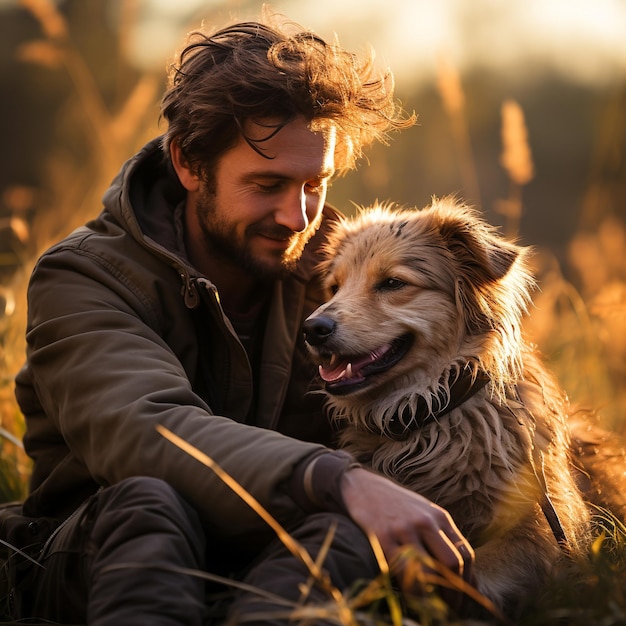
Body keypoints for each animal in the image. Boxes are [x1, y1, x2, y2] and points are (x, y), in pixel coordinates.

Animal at [302, 197, 620, 612]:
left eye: (393, 283)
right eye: (334, 288)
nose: (312, 329)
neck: (428, 415)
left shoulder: (542, 529)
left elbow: (483, 574)